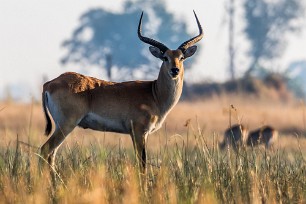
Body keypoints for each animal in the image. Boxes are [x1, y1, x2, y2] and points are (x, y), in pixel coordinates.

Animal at [40, 11, 203, 172]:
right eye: (165, 58)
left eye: (181, 57)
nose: (175, 70)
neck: (154, 93)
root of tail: (49, 83)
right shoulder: (139, 132)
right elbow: (142, 164)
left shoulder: (138, 134)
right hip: (66, 124)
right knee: (45, 149)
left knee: (51, 154)